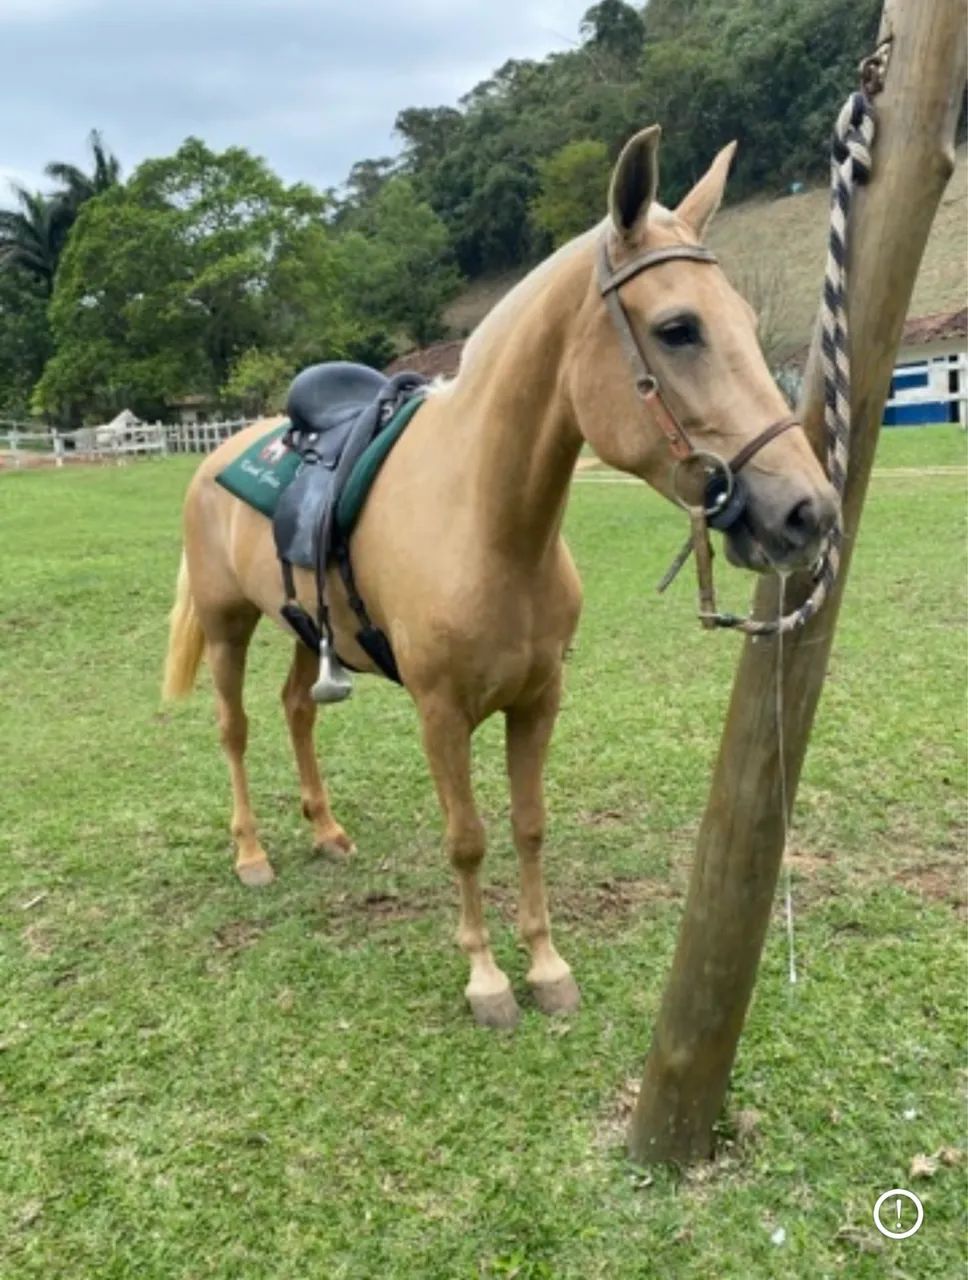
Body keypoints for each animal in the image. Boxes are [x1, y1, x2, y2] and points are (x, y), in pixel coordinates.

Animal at [163, 126, 837, 1029]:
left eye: (746, 321)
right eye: (679, 328)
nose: (807, 511)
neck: (489, 527)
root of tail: (223, 449)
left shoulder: (538, 701)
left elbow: (528, 826)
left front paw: (546, 966)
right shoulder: (442, 716)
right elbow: (468, 838)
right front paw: (486, 979)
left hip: (307, 628)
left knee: (297, 711)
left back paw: (325, 831)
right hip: (226, 624)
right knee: (234, 729)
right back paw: (252, 854)